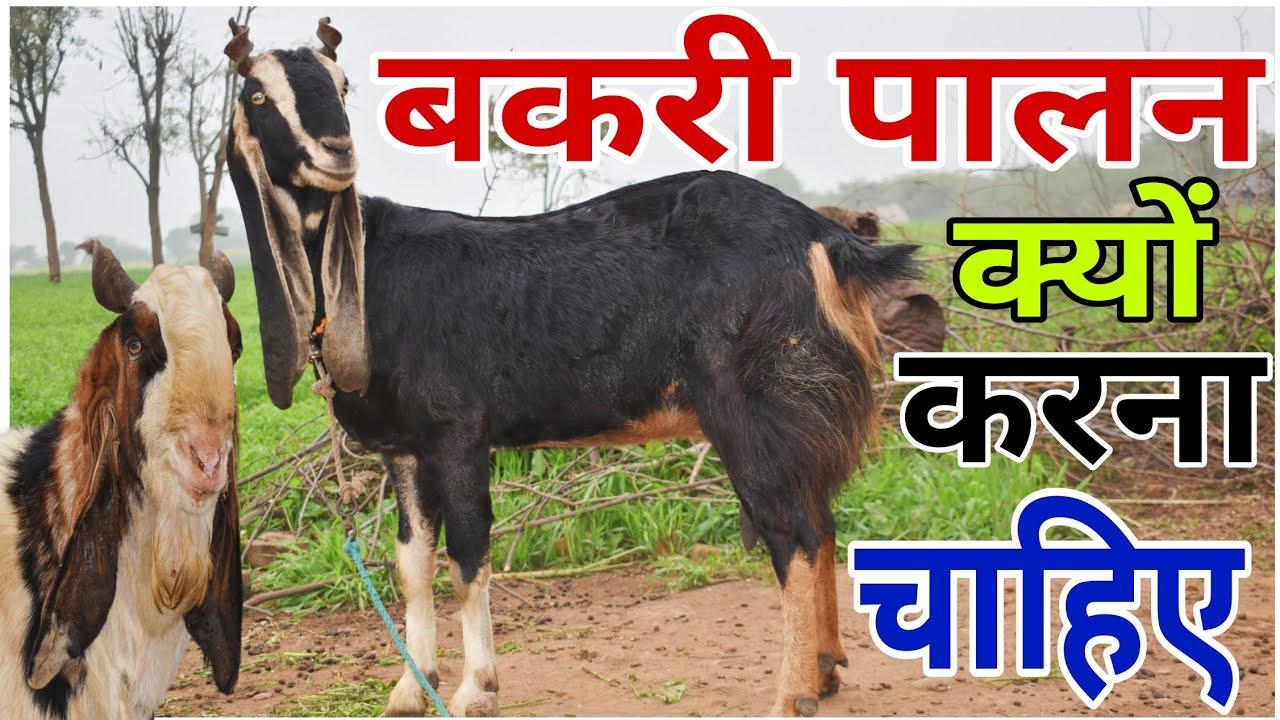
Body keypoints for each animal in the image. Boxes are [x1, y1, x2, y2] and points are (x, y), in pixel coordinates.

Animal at [223, 18, 915, 717]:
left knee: (792, 529)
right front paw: (409, 689)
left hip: (753, 399)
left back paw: (791, 692)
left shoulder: (457, 433)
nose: (337, 150)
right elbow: (412, 565)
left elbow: (467, 560)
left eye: (343, 85)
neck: (370, 270)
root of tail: (825, 238)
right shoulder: (405, 447)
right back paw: (825, 671)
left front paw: (475, 689)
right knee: (820, 518)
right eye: (256, 95)